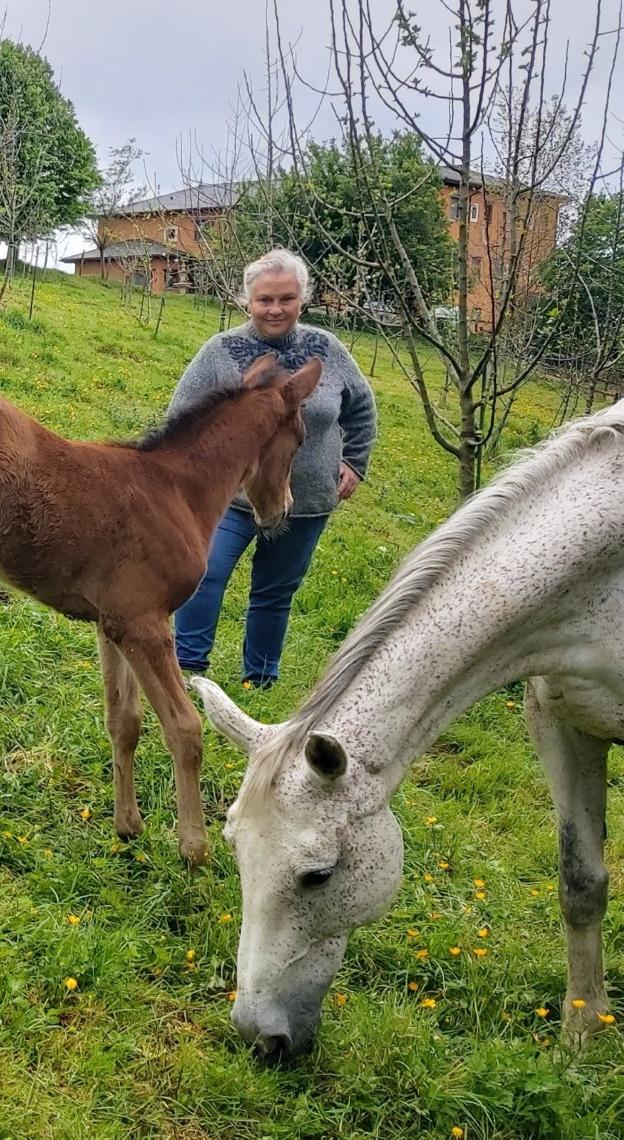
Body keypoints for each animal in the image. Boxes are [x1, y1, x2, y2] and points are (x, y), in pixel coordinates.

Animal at [0, 355, 321, 861]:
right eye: (301, 439)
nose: (282, 511)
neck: (177, 492)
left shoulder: (112, 625)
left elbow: (124, 721)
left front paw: (128, 827)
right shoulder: (144, 625)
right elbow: (185, 728)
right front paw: (194, 848)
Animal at [192, 401, 624, 1057]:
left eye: (317, 875)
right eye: (234, 847)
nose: (259, 1037)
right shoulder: (561, 725)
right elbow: (581, 885)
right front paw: (583, 1029)